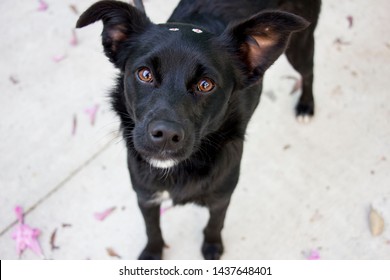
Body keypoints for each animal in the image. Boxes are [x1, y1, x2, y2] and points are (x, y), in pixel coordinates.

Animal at [77, 0, 322, 260]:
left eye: (206, 85)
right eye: (145, 74)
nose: (166, 135)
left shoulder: (222, 196)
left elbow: (215, 223)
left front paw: (212, 247)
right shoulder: (145, 195)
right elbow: (152, 228)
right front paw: (153, 253)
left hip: (301, 46)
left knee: (309, 72)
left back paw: (306, 105)